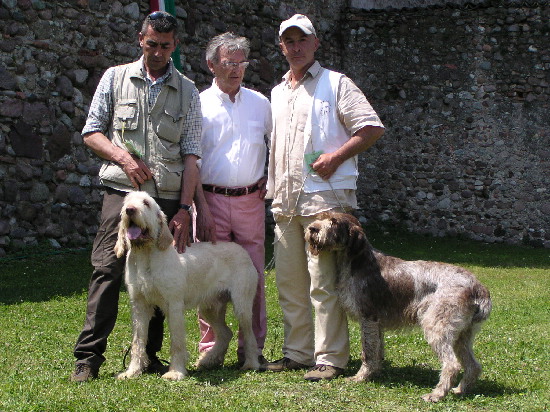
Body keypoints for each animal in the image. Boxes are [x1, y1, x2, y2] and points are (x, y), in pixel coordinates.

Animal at [114, 191, 260, 380]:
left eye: (146, 203)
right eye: (126, 203)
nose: (130, 210)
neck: (146, 254)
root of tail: (243, 251)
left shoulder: (174, 305)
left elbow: (176, 341)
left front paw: (175, 372)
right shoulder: (139, 305)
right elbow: (138, 341)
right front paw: (132, 371)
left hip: (242, 304)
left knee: (249, 333)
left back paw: (251, 364)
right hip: (210, 307)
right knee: (225, 333)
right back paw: (208, 360)